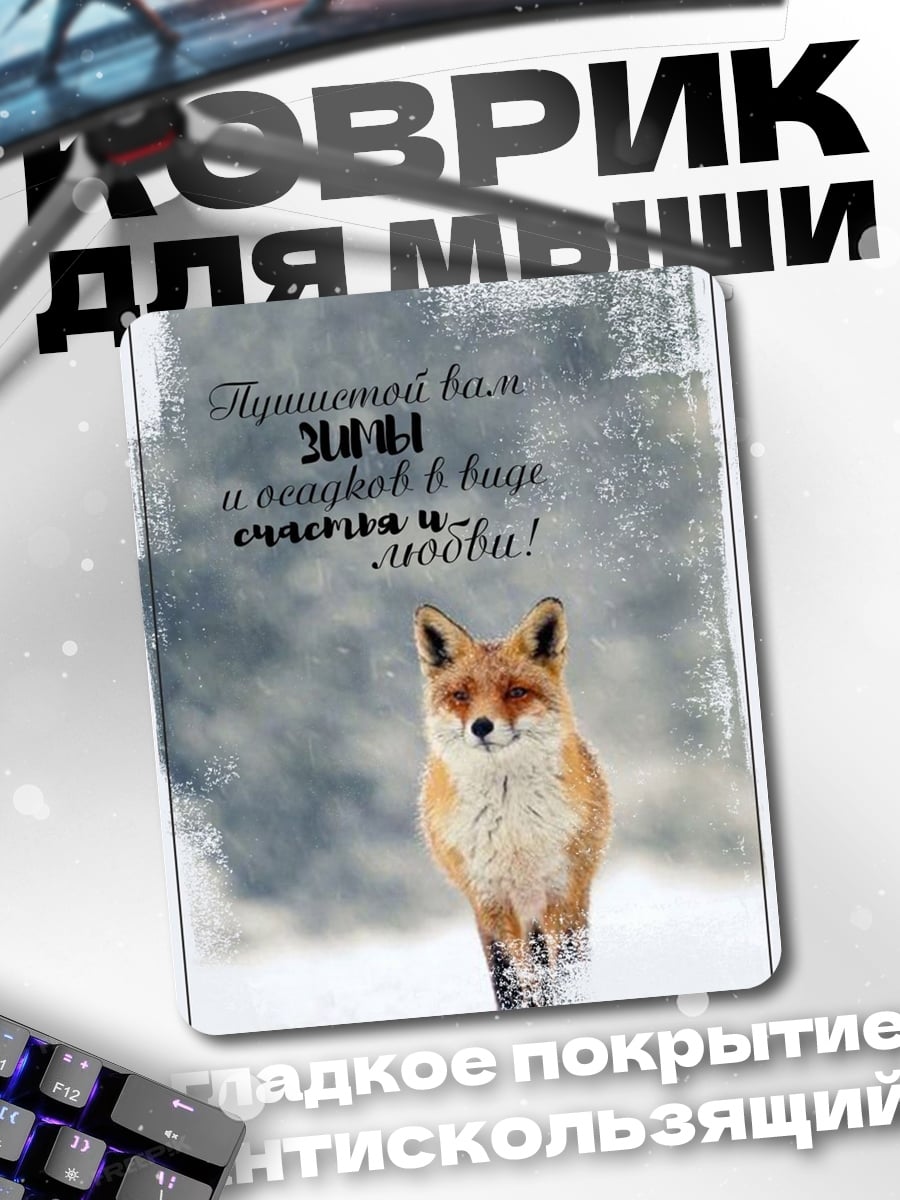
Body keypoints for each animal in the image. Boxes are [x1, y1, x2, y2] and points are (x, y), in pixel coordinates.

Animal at [414, 597, 612, 1010]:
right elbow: (506, 982)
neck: (513, 831)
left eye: (515, 692)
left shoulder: (561, 891)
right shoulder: (488, 899)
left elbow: (563, 975)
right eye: (461, 696)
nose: (481, 726)